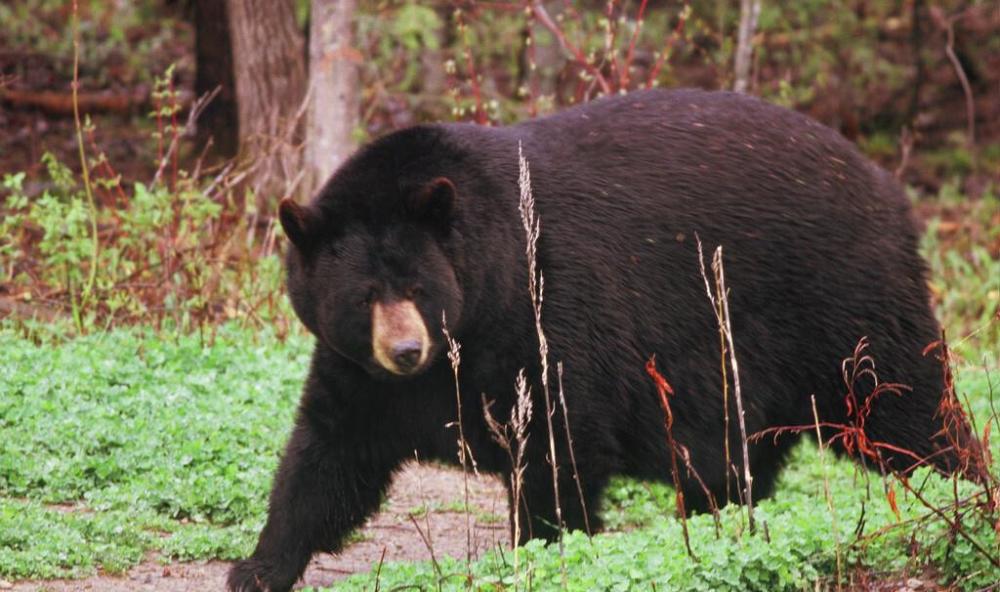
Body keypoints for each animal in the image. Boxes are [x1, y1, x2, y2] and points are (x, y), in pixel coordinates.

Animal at [227, 89, 976, 592]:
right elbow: (326, 458)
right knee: (736, 462)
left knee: (906, 408)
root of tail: (888, 187)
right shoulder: (359, 375)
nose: (406, 351)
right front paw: (258, 565)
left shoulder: (546, 320)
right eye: (364, 296)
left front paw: (535, 551)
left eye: (415, 285)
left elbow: (559, 443)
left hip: (842, 305)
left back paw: (962, 491)